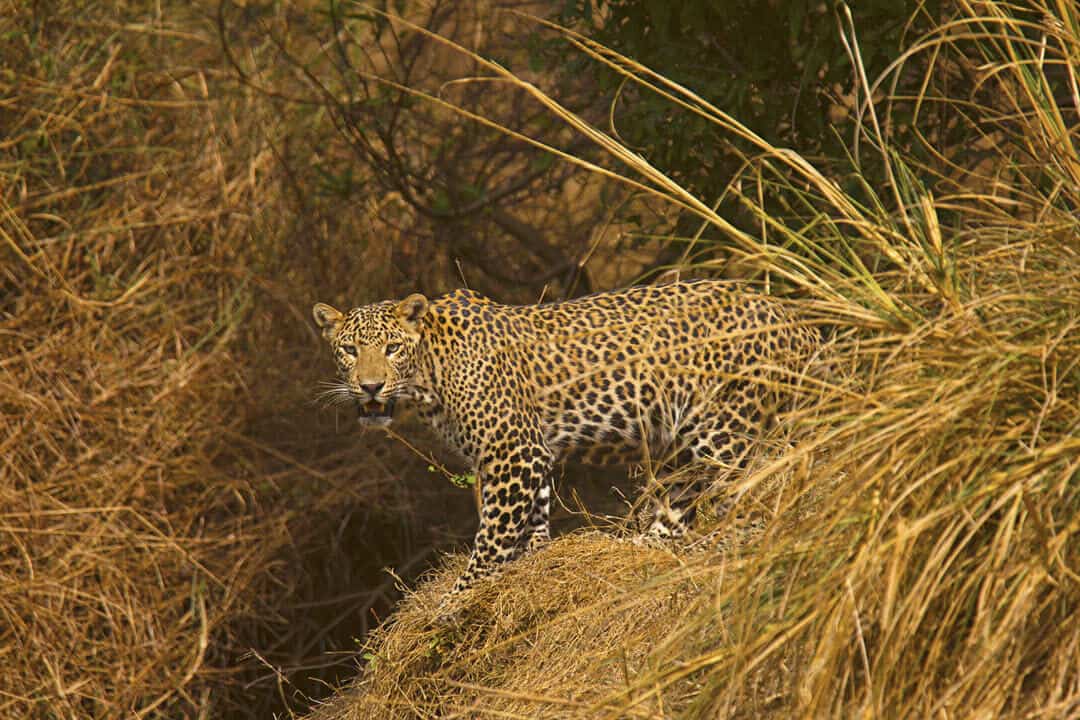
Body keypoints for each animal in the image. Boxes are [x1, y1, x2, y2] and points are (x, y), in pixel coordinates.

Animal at [313, 280, 816, 608]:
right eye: (350, 350)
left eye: (393, 348)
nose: (371, 387)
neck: (430, 373)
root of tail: (797, 320)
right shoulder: (531, 453)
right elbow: (532, 517)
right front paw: (535, 555)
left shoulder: (510, 452)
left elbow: (492, 535)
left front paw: (455, 602)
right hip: (684, 441)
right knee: (682, 507)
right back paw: (639, 548)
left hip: (726, 426)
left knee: (758, 499)